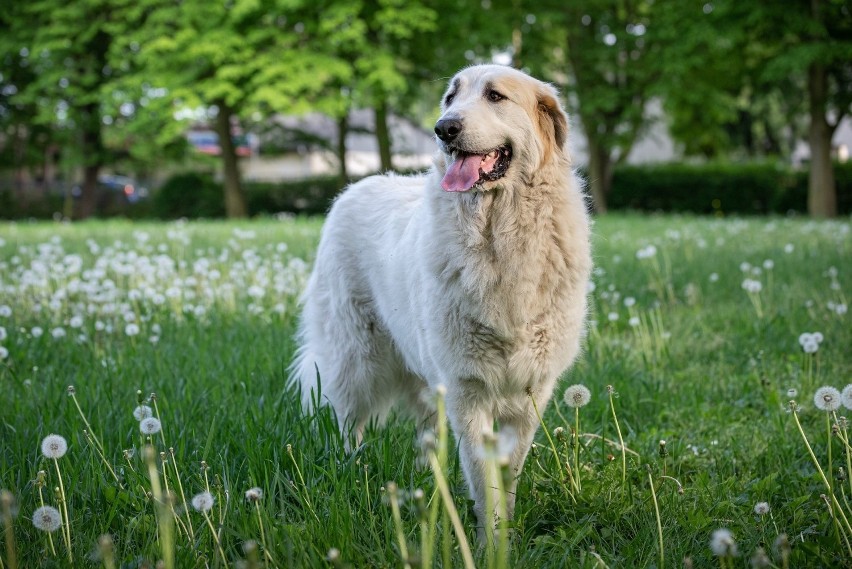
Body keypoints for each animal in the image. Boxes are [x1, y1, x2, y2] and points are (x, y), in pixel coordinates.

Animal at [292, 65, 592, 536]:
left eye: (495, 96)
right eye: (451, 97)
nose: (443, 128)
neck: (498, 232)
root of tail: (355, 188)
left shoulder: (530, 393)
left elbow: (509, 472)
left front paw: (504, 533)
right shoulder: (468, 390)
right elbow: (483, 477)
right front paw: (491, 539)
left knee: (424, 431)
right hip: (355, 358)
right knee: (346, 421)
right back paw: (351, 471)